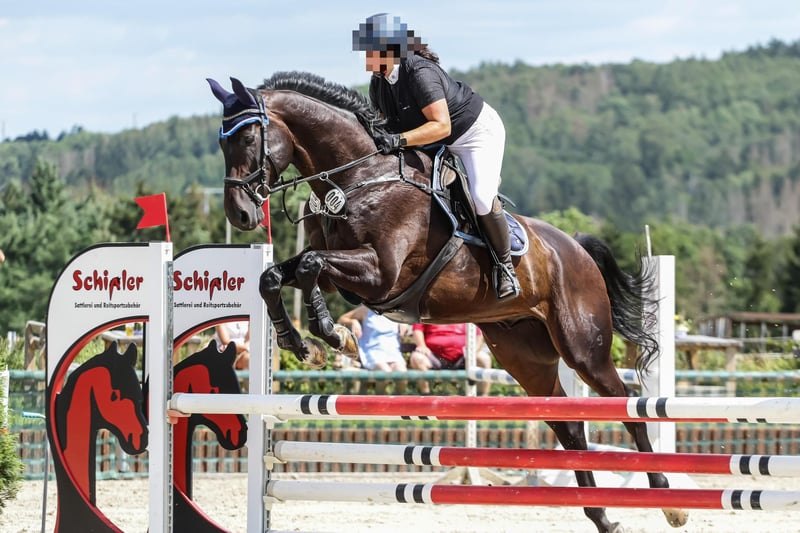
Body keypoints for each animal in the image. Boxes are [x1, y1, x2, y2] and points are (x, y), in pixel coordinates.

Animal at [207, 72, 687, 533]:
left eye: (247, 139)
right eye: (222, 142)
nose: (240, 215)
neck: (359, 179)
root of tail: (576, 248)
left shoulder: (380, 274)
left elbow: (309, 266)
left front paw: (333, 336)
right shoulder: (349, 275)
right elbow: (274, 276)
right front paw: (302, 343)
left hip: (584, 347)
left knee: (626, 404)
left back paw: (668, 499)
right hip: (525, 355)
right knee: (568, 423)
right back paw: (601, 515)